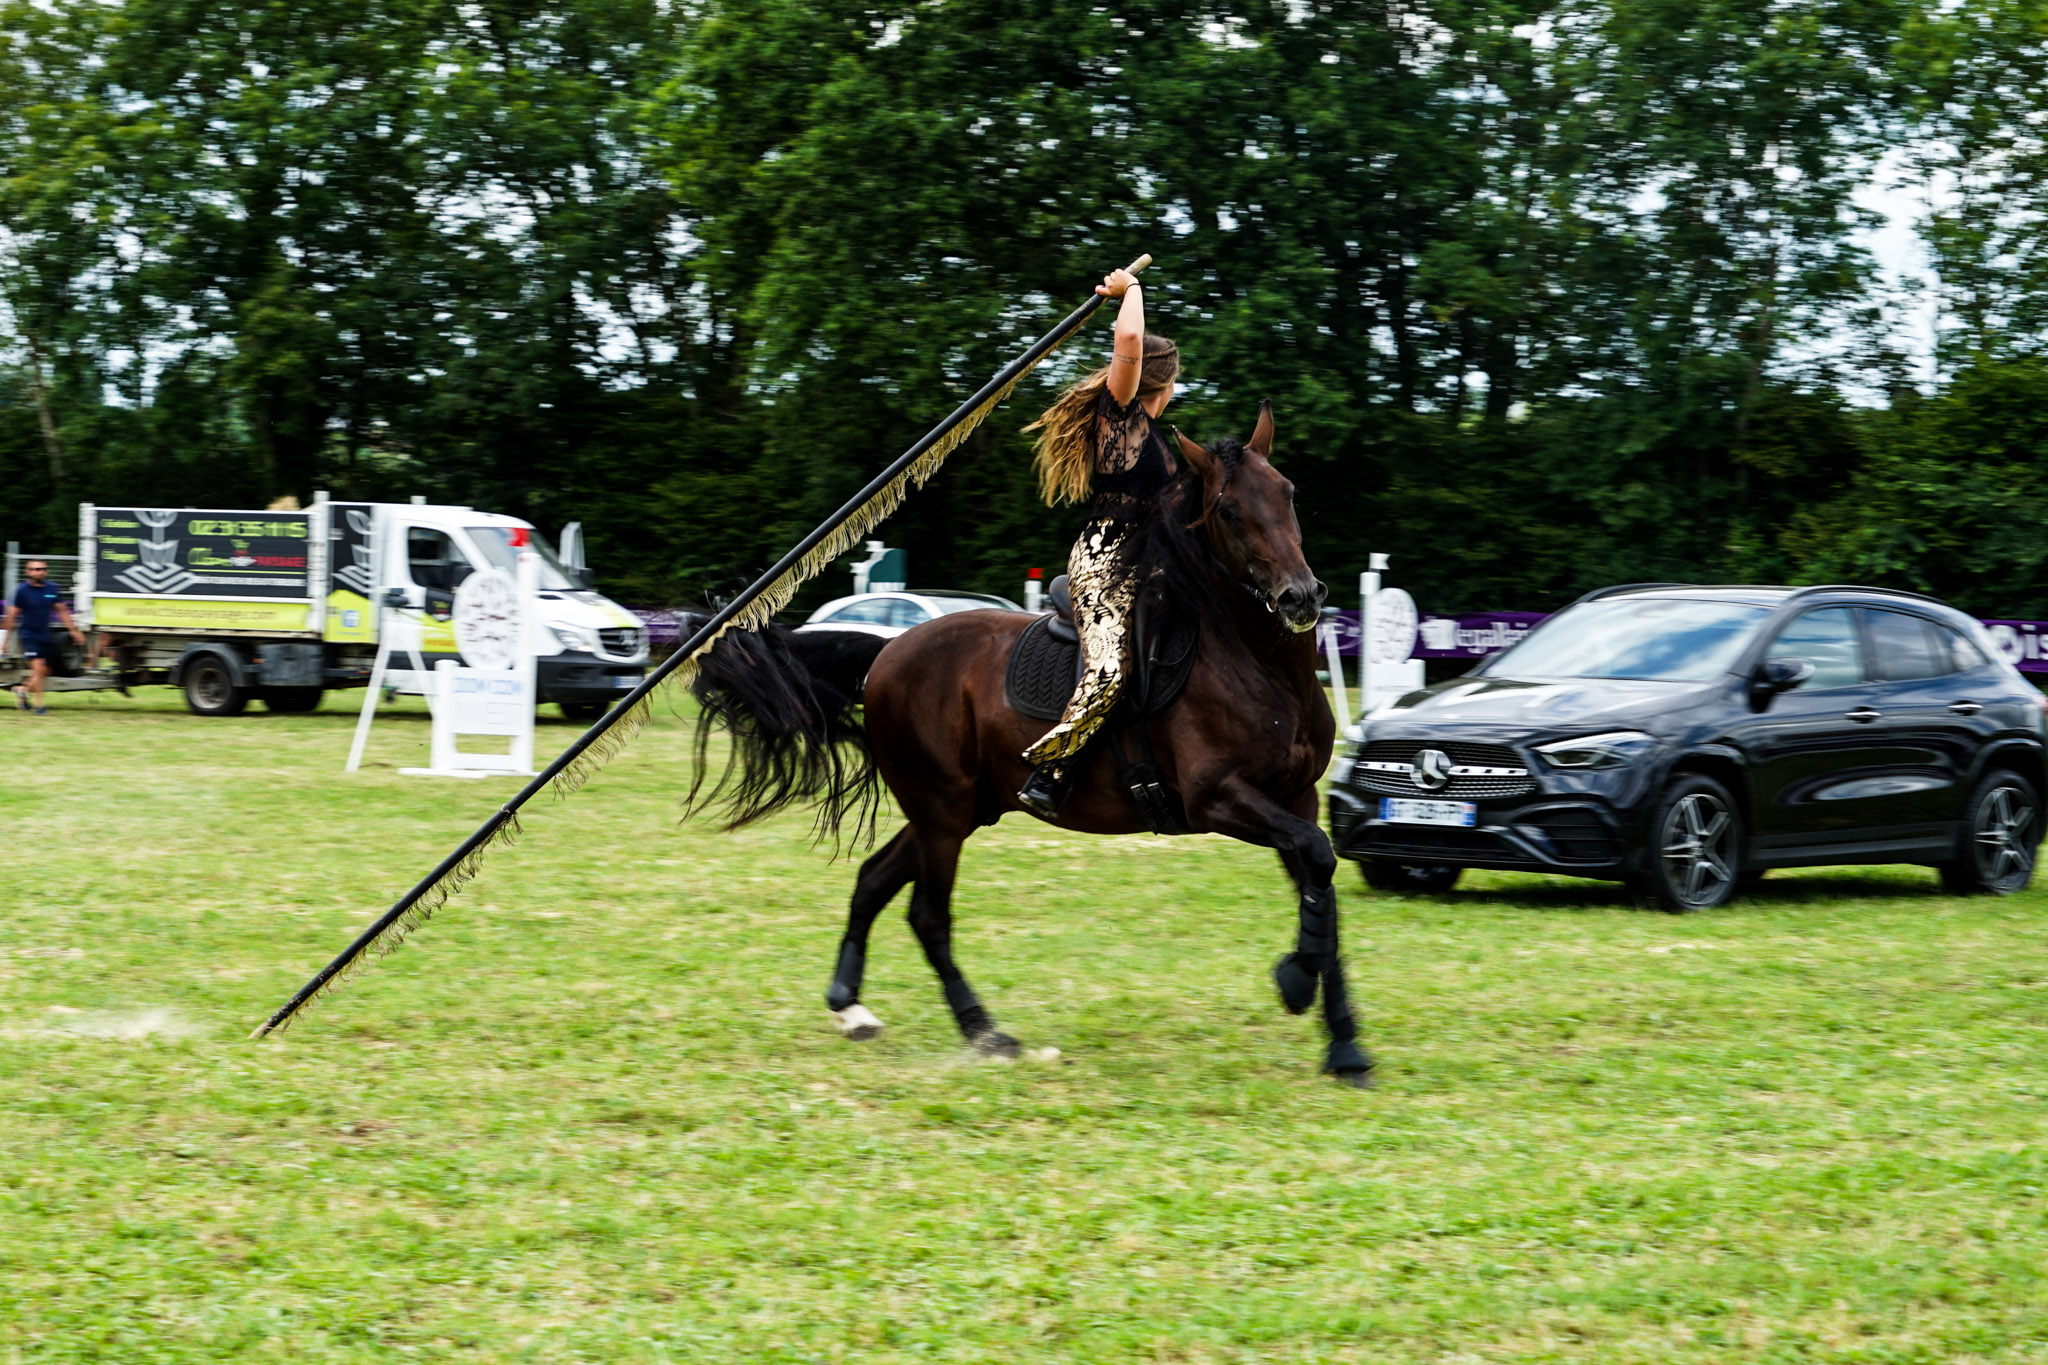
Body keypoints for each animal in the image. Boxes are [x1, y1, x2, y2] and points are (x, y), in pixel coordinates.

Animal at [690, 402, 1370, 1086]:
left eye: (1287, 493)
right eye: (1229, 511)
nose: (1301, 597)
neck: (1253, 660)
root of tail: (885, 651)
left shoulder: (1295, 798)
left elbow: (1321, 881)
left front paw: (1344, 1044)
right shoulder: (1218, 799)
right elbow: (1318, 860)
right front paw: (1295, 981)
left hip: (959, 809)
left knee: (873, 880)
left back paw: (850, 1006)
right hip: (941, 810)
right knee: (927, 915)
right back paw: (984, 1031)